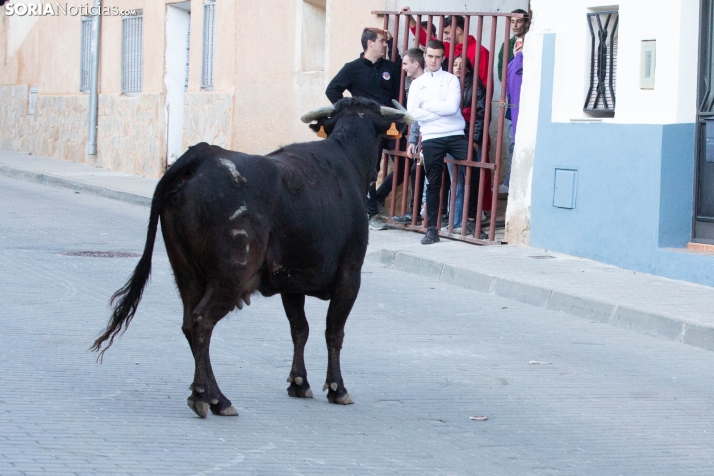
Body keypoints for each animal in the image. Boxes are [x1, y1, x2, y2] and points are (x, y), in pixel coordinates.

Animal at [90, 98, 412, 418]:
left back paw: (214, 397)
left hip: (186, 272)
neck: (346, 159)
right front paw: (337, 388)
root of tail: (202, 155)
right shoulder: (349, 275)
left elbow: (300, 329)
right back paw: (207, 397)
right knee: (201, 322)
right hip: (230, 276)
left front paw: (298, 382)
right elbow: (333, 331)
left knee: (189, 323)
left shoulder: (291, 280)